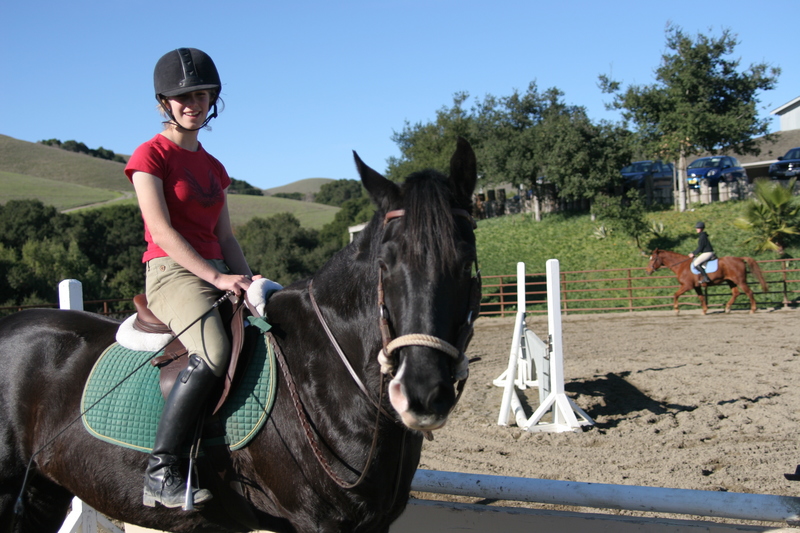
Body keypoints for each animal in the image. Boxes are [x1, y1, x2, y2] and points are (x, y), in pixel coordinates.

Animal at [0, 138, 480, 533]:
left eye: (465, 260)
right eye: (386, 263)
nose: (422, 393)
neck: (335, 373)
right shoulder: (317, 522)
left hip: (44, 491)